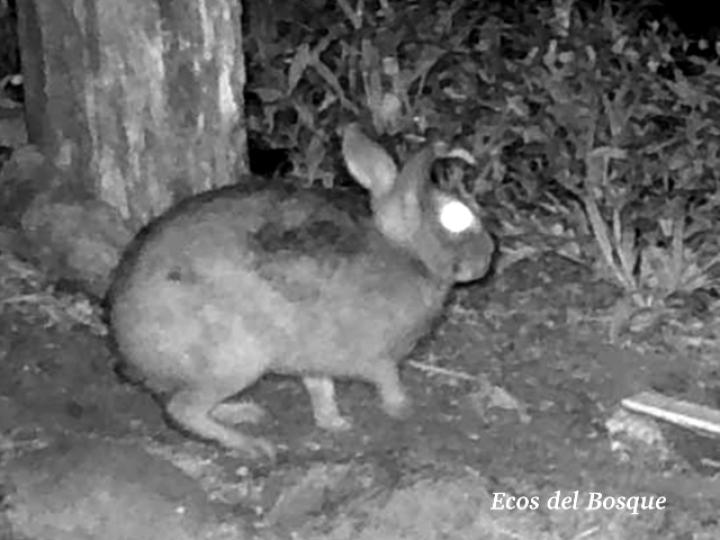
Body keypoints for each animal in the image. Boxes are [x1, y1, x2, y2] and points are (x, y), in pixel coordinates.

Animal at [108, 123, 495, 458]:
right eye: (454, 220)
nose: (489, 256)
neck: (406, 252)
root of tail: (129, 349)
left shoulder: (313, 357)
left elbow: (320, 387)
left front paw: (334, 422)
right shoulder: (376, 356)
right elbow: (387, 380)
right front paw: (402, 408)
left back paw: (243, 413)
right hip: (236, 359)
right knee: (182, 408)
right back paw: (252, 443)